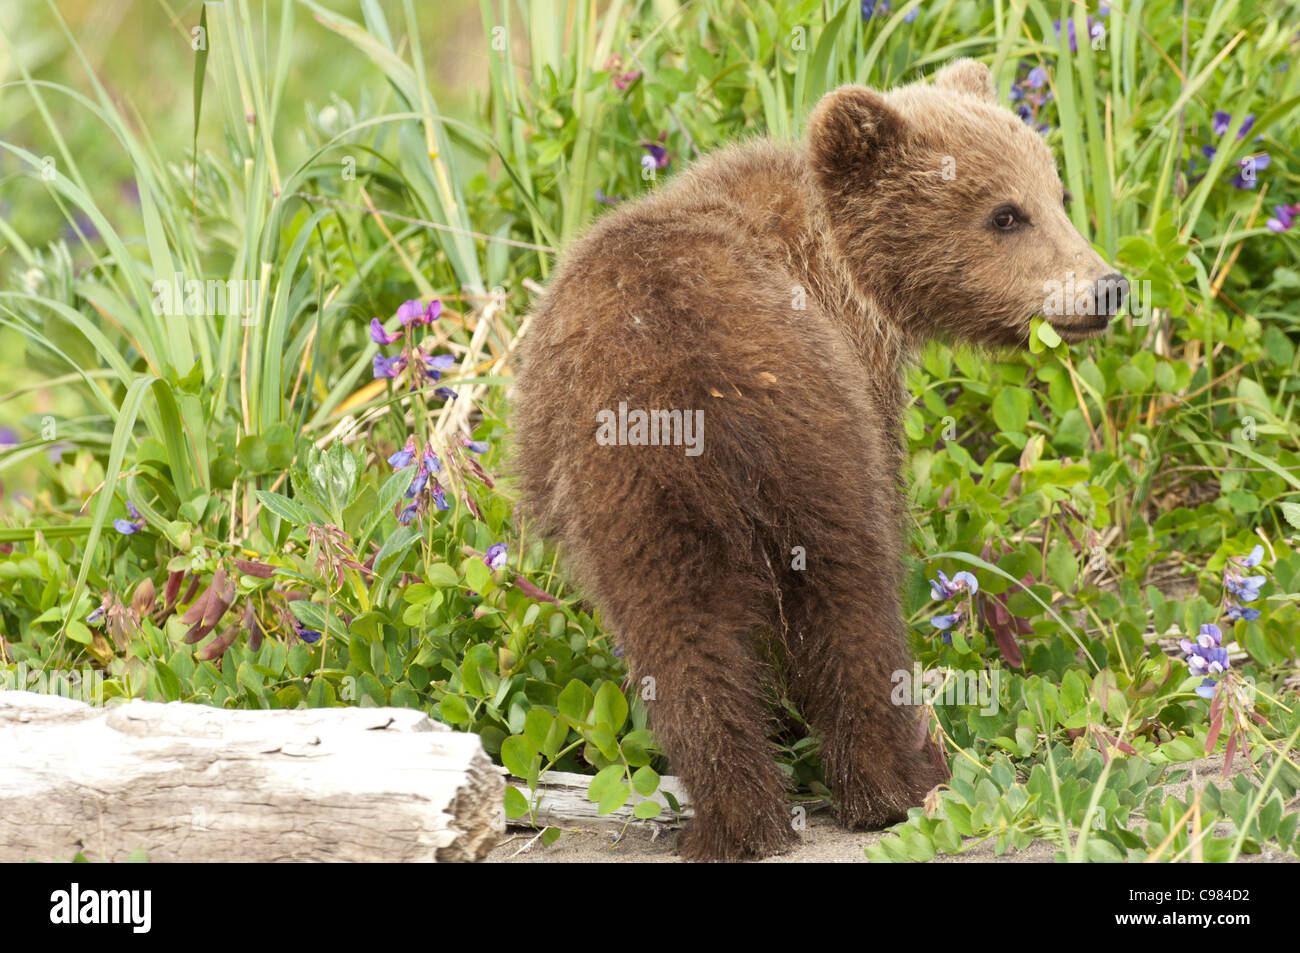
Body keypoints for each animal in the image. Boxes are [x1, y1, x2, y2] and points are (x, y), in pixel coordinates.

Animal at [510, 59, 1127, 861]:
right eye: (1004, 213)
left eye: (1058, 194)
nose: (1107, 287)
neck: (849, 266)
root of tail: (691, 394)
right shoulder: (867, 381)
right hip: (812, 443)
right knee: (852, 604)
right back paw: (899, 783)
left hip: (638, 498)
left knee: (684, 645)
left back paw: (738, 823)